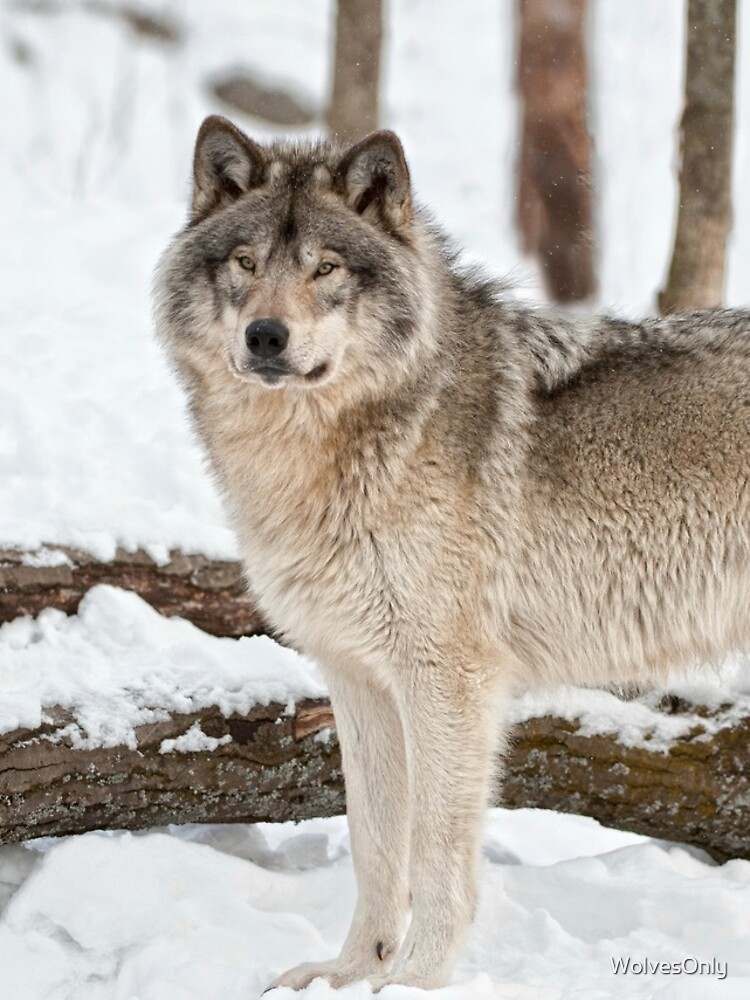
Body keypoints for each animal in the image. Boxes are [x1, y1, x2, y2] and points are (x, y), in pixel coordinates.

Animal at [154, 115, 750, 992]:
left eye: (326, 268)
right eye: (246, 264)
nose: (267, 336)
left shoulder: (448, 680)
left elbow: (435, 852)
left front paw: (415, 981)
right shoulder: (357, 677)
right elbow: (373, 844)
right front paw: (347, 974)